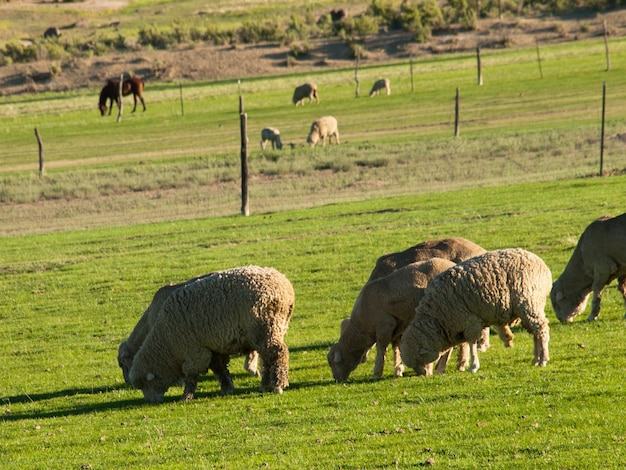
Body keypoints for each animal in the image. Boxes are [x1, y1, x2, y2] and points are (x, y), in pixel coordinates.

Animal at [129, 266, 294, 402]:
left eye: (145, 384)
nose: (150, 401)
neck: (167, 343)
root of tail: (284, 285)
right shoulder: (210, 347)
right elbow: (219, 368)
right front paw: (227, 388)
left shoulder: (195, 351)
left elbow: (191, 375)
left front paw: (186, 396)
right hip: (271, 330)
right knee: (267, 357)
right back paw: (265, 385)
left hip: (266, 326)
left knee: (278, 353)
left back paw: (278, 385)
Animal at [326, 258, 454, 382]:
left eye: (334, 363)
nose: (337, 379)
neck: (362, 324)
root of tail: (451, 263)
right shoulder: (397, 328)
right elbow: (396, 350)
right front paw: (398, 371)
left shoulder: (385, 326)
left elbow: (381, 350)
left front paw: (377, 373)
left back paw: (440, 368)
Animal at [398, 248, 548, 376]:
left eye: (418, 360)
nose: (423, 375)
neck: (436, 318)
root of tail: (543, 265)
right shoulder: (456, 329)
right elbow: (457, 348)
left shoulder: (469, 322)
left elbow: (471, 344)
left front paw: (473, 366)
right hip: (528, 308)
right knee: (535, 333)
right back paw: (535, 359)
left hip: (529, 303)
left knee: (541, 330)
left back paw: (543, 359)